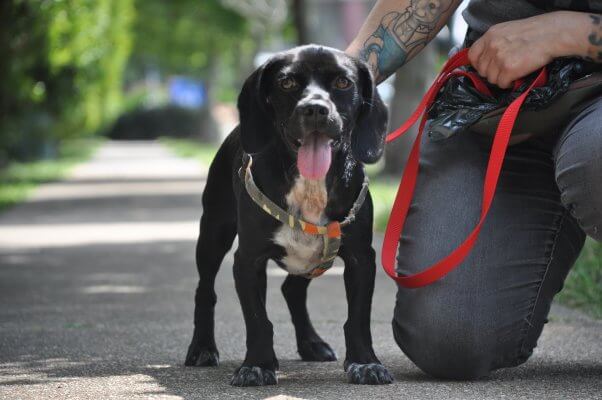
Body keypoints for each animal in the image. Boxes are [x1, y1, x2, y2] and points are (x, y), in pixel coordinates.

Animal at [183, 43, 390, 384]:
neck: (310, 185)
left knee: (291, 289)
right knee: (205, 291)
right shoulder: (248, 260)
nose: (315, 109)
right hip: (214, 232)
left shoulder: (361, 258)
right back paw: (201, 348)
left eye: (343, 82)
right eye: (287, 82)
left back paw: (311, 344)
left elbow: (358, 318)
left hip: (311, 258)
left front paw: (365, 362)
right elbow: (258, 320)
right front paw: (258, 364)